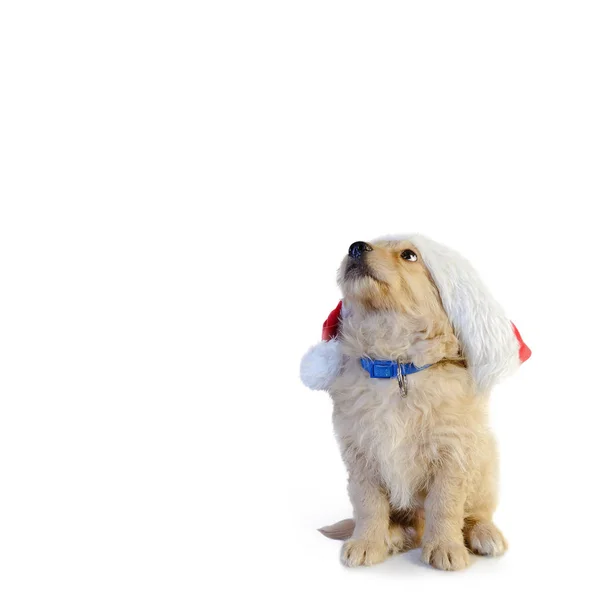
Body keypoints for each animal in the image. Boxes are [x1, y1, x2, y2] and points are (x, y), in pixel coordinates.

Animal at [302, 238, 528, 572]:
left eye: (409, 255)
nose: (356, 246)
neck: (396, 365)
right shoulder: (360, 453)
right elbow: (368, 504)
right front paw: (367, 542)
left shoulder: (453, 450)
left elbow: (445, 503)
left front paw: (446, 547)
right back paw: (393, 535)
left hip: (484, 462)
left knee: (476, 512)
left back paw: (483, 534)